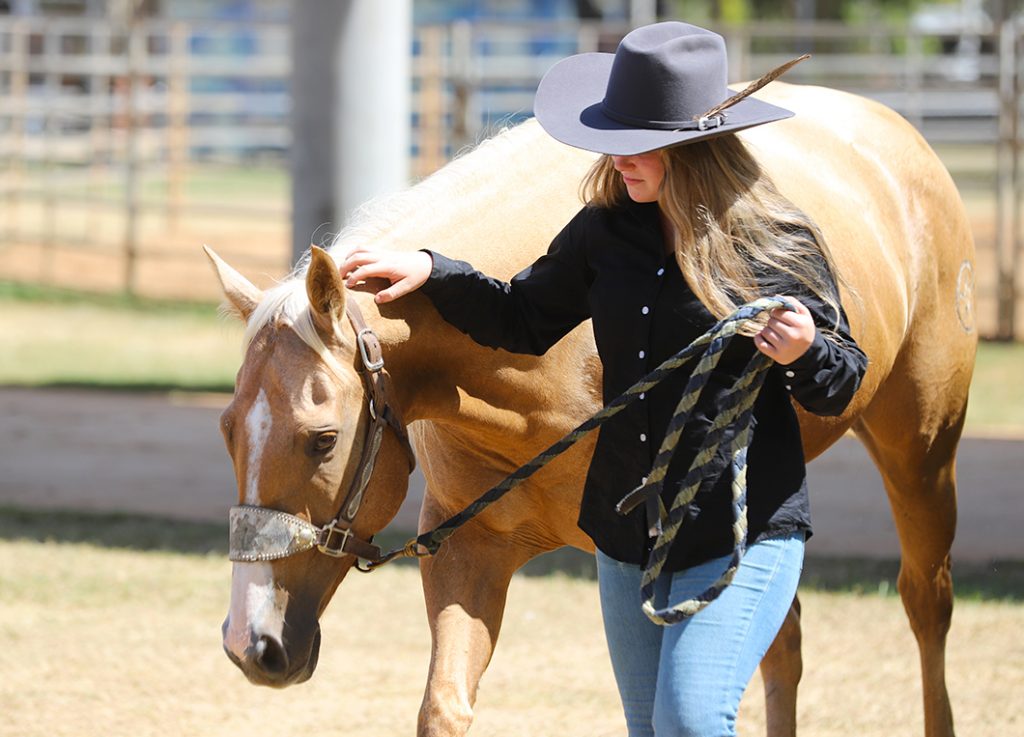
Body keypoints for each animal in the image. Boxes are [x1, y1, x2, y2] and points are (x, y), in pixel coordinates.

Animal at [207, 83, 974, 732]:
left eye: (323, 439)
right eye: (227, 431)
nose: (253, 644)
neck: (540, 392)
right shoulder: (467, 548)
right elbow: (444, 706)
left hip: (920, 451)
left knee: (926, 601)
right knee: (783, 644)